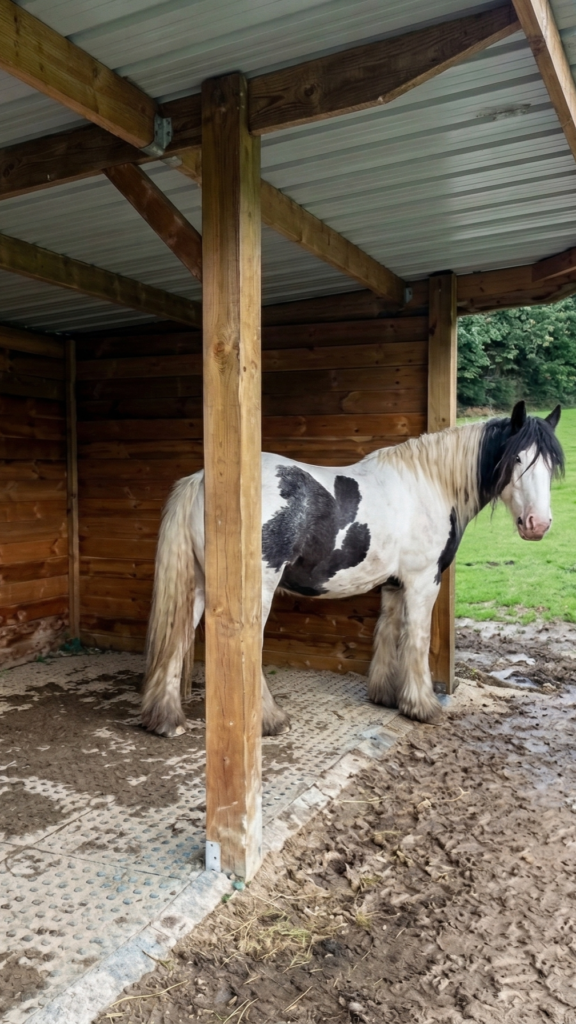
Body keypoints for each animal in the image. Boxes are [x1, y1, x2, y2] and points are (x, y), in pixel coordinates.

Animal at [141, 401, 563, 738]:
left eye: (551, 466)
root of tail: (202, 481)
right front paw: (422, 706)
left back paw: (167, 721)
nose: (538, 524)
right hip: (255, 590)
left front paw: (387, 696)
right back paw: (270, 720)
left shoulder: (394, 585)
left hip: (197, 586)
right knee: (246, 648)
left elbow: (388, 632)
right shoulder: (423, 581)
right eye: (517, 459)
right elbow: (417, 639)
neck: (429, 484)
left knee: (176, 642)